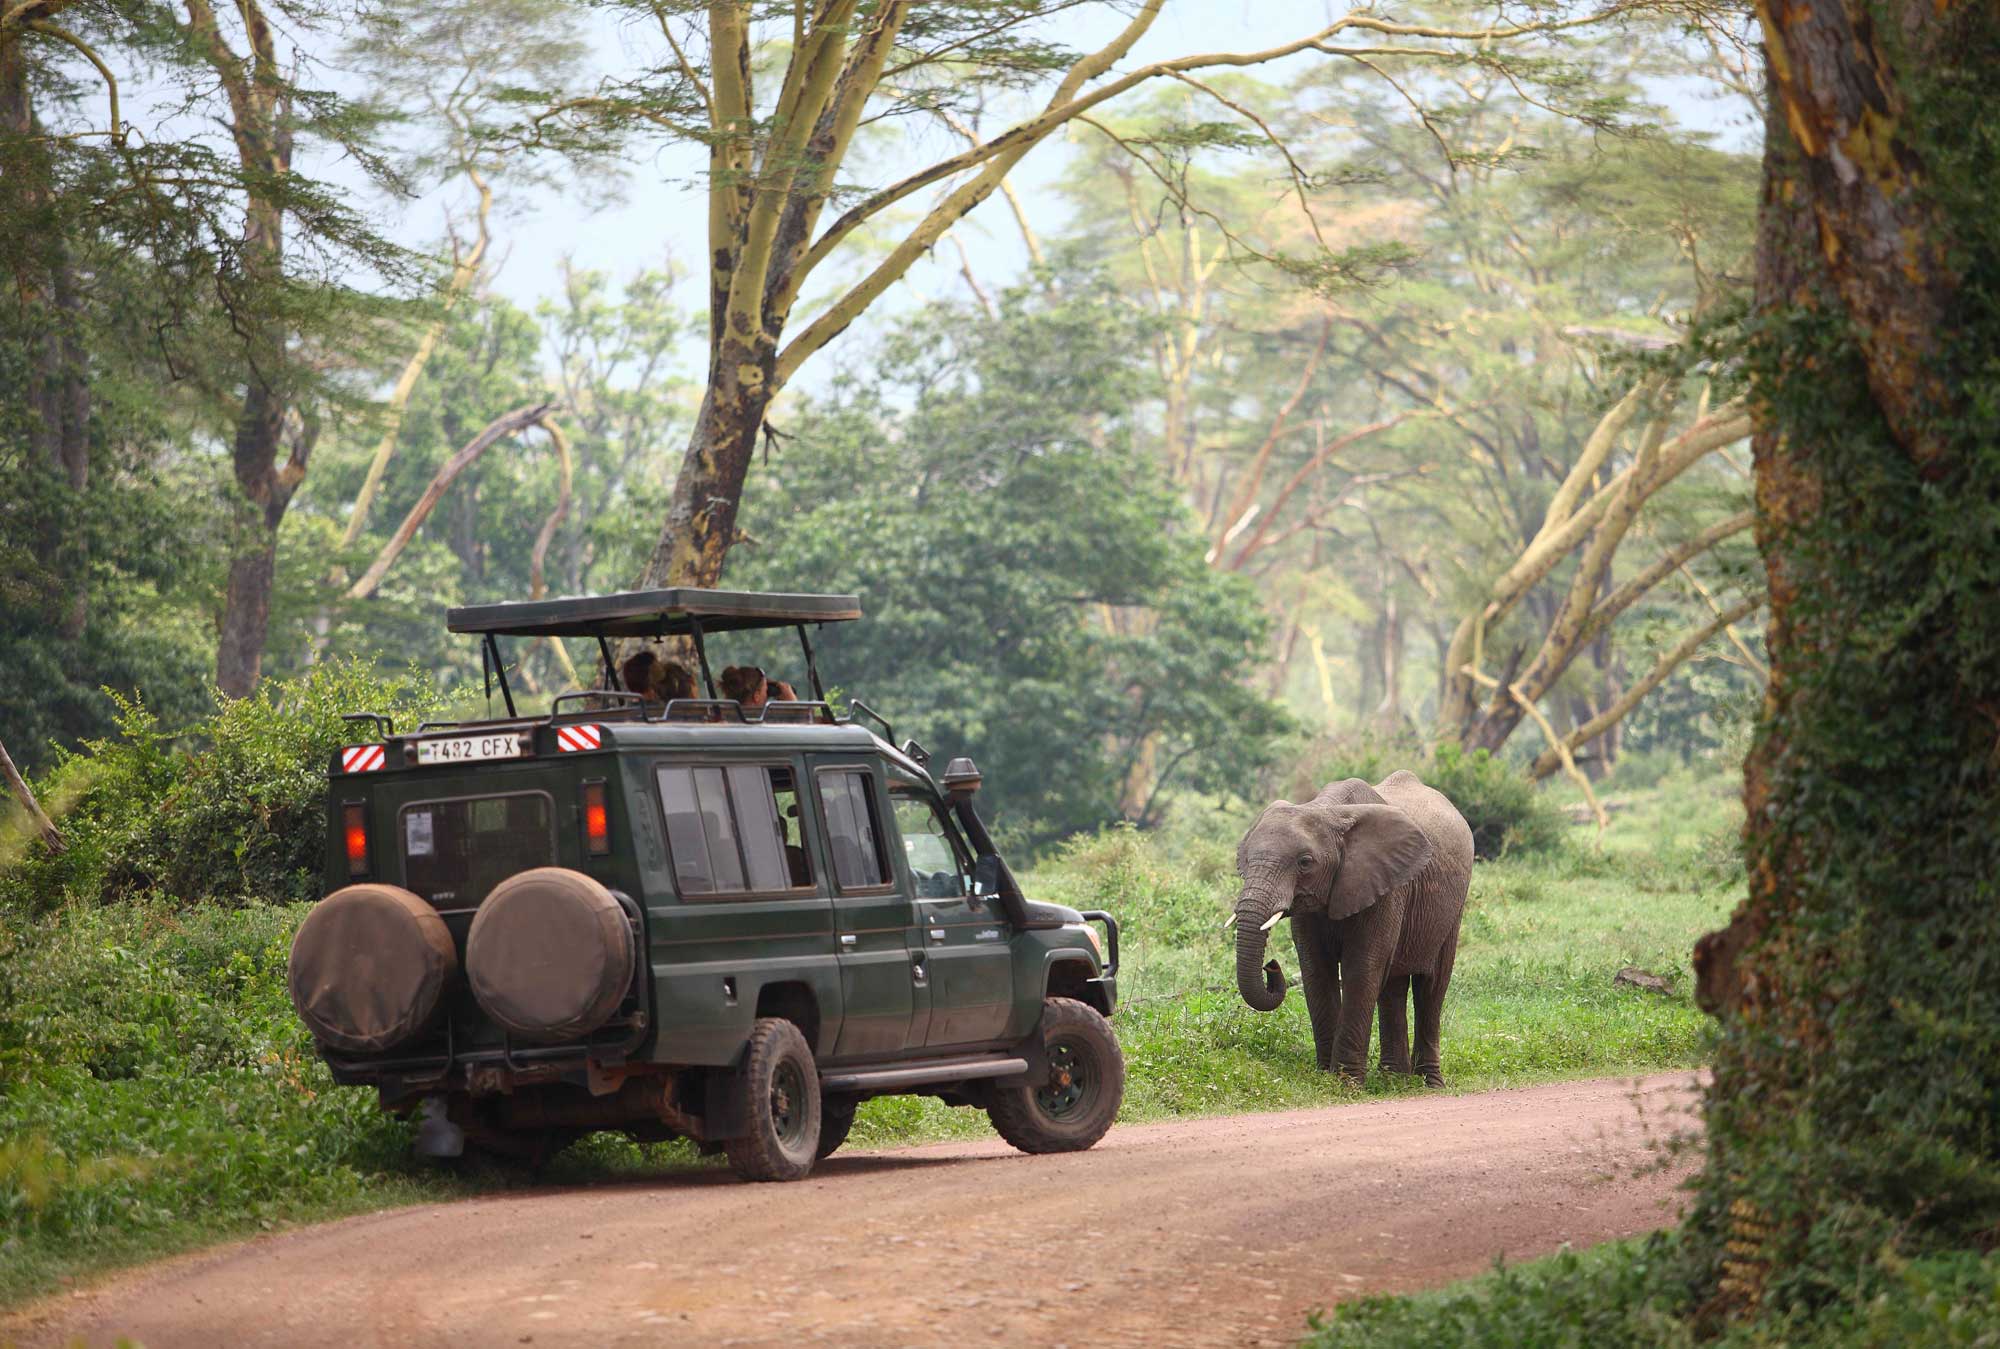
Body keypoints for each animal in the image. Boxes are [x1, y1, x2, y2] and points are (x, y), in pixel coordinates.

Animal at [1224, 768, 1480, 1080]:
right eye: (1246, 860)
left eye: (1305, 862)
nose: (1271, 965)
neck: (1327, 810)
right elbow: (1316, 969)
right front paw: (1325, 1076)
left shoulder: (1387, 886)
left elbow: (1361, 968)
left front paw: (1346, 1082)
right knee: (1393, 986)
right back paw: (1393, 1078)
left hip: (1454, 906)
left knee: (1431, 987)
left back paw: (1428, 1082)